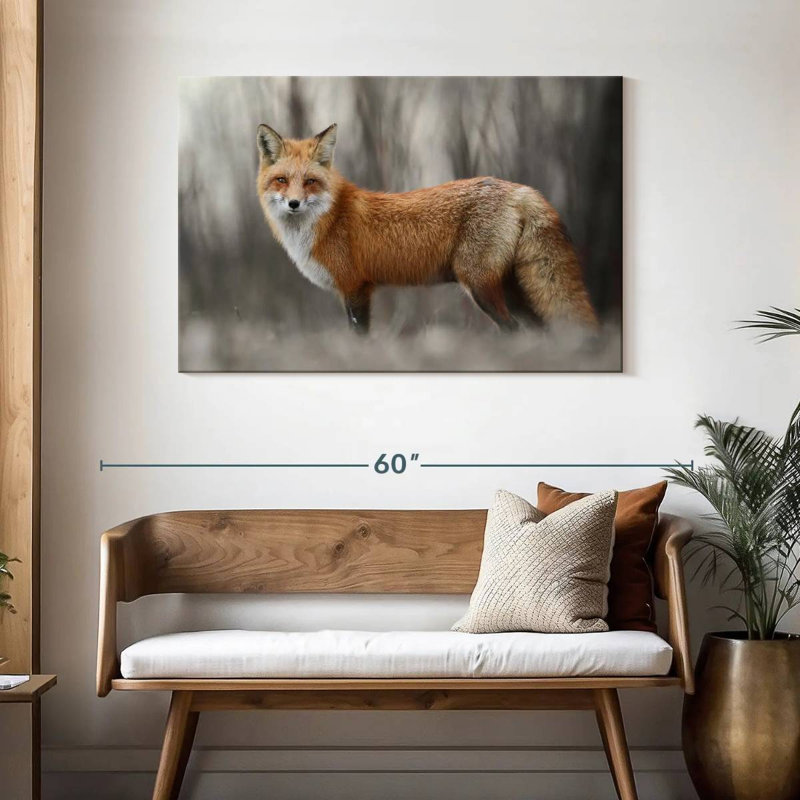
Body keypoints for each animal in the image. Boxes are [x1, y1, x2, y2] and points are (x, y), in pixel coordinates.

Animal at [256, 123, 598, 335]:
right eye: (281, 180)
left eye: (310, 181)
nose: (294, 204)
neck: (327, 220)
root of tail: (520, 188)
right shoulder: (354, 290)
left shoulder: (355, 287)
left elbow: (360, 337)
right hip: (513, 290)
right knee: (540, 330)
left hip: (480, 286)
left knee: (512, 328)